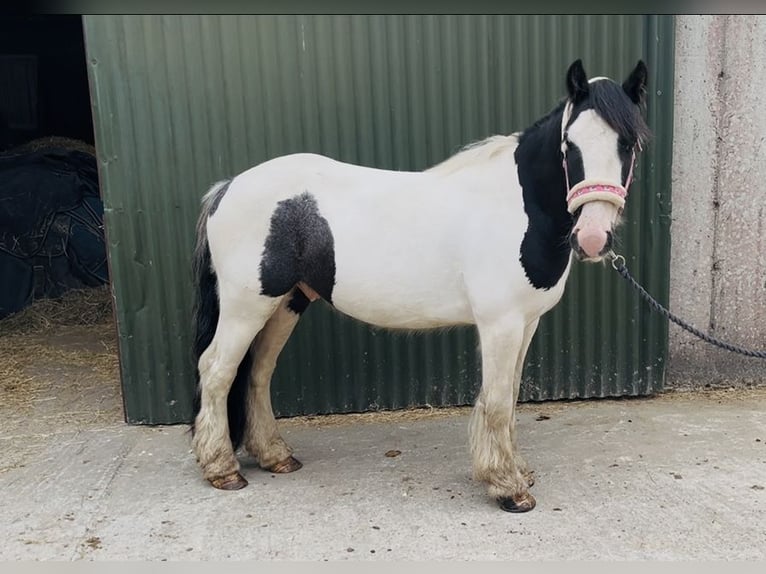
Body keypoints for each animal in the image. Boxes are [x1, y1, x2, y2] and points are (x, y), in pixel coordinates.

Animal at [190, 59, 650, 513]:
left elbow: (512, 395)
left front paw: (517, 470)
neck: (518, 206)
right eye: (570, 145)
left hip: (287, 302)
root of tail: (227, 188)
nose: (593, 238)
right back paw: (222, 469)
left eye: (629, 145)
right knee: (217, 370)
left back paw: (275, 456)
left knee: (258, 372)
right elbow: (498, 402)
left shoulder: (526, 322)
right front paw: (507, 487)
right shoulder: (500, 324)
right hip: (246, 306)